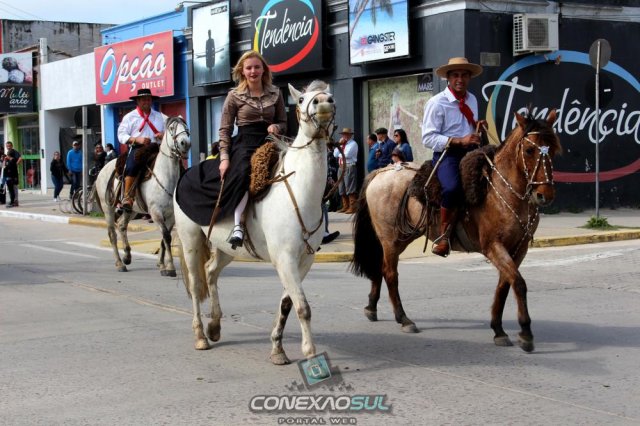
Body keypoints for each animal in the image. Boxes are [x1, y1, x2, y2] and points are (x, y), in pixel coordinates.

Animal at [94, 116, 191, 276]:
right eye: (172, 128)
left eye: (186, 127)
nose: (185, 143)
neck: (165, 176)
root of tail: (104, 169)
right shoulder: (156, 212)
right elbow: (166, 236)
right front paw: (170, 267)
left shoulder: (171, 215)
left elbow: (164, 238)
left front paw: (162, 265)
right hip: (108, 207)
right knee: (112, 234)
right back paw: (120, 263)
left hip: (131, 209)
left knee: (122, 225)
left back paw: (127, 256)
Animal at [173, 81, 335, 364]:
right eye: (302, 99)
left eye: (329, 95)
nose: (324, 103)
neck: (299, 191)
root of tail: (186, 173)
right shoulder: (284, 259)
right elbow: (303, 307)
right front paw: (311, 354)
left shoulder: (303, 261)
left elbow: (287, 304)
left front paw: (278, 349)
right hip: (190, 240)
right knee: (195, 283)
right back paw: (201, 336)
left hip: (225, 247)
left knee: (211, 271)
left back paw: (214, 326)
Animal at [351, 110, 561, 352]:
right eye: (529, 150)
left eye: (553, 149)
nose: (545, 195)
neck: (503, 191)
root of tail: (382, 171)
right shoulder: (493, 246)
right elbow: (518, 283)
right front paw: (525, 333)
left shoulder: (519, 248)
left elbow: (504, 285)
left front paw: (498, 329)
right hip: (390, 238)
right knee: (390, 273)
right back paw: (403, 318)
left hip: (402, 236)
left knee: (380, 268)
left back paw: (371, 307)